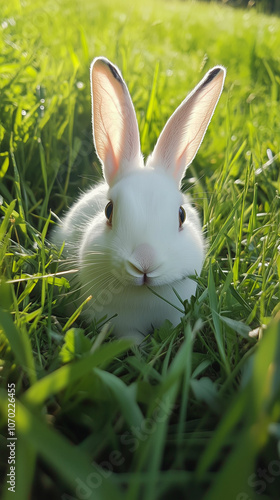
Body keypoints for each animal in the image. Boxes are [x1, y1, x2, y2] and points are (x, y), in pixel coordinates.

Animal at [52, 55, 225, 344]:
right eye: (108, 211)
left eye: (181, 215)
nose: (145, 263)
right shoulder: (121, 323)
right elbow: (130, 338)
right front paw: (135, 347)